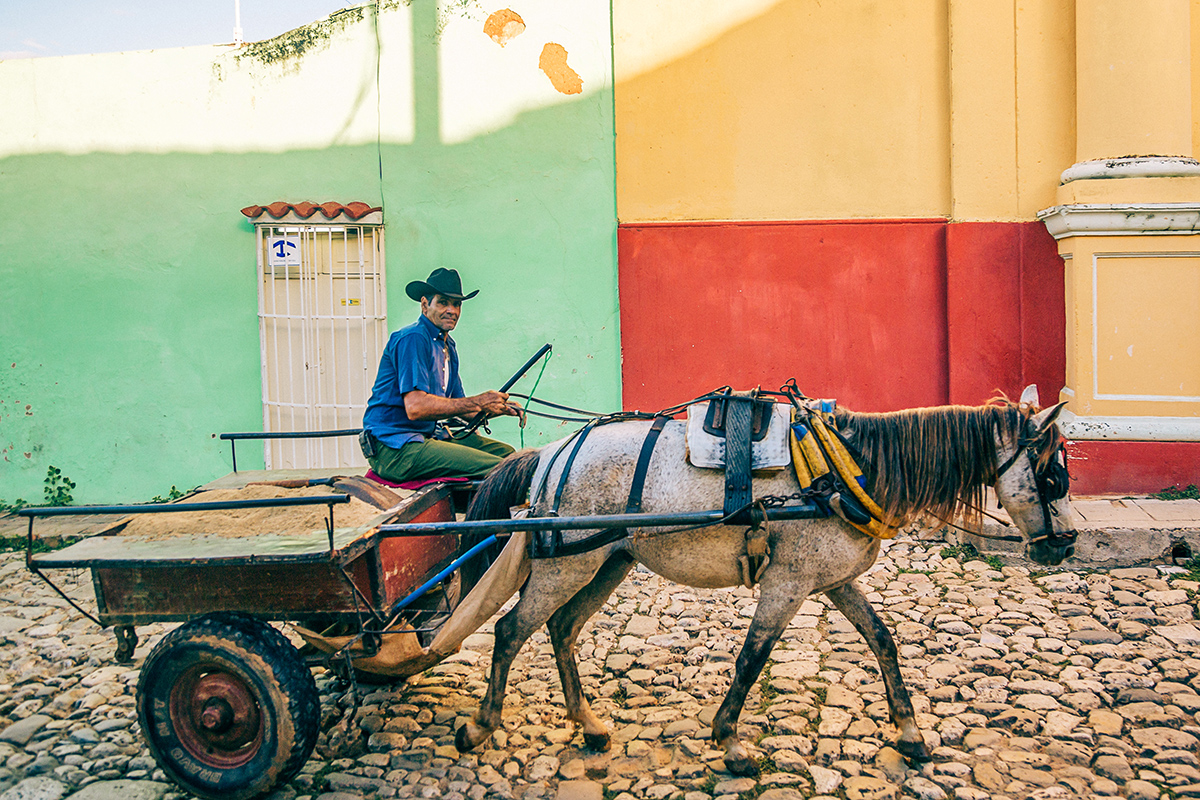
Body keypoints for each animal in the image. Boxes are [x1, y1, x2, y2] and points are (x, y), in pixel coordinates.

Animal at [453, 391, 1075, 777]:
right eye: (1051, 476)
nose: (1066, 544)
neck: (845, 469)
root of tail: (551, 453)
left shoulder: (832, 580)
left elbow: (882, 640)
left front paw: (910, 733)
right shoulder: (789, 583)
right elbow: (753, 657)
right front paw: (730, 742)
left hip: (607, 561)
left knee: (561, 628)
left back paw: (590, 726)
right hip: (566, 565)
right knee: (511, 630)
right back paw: (481, 727)